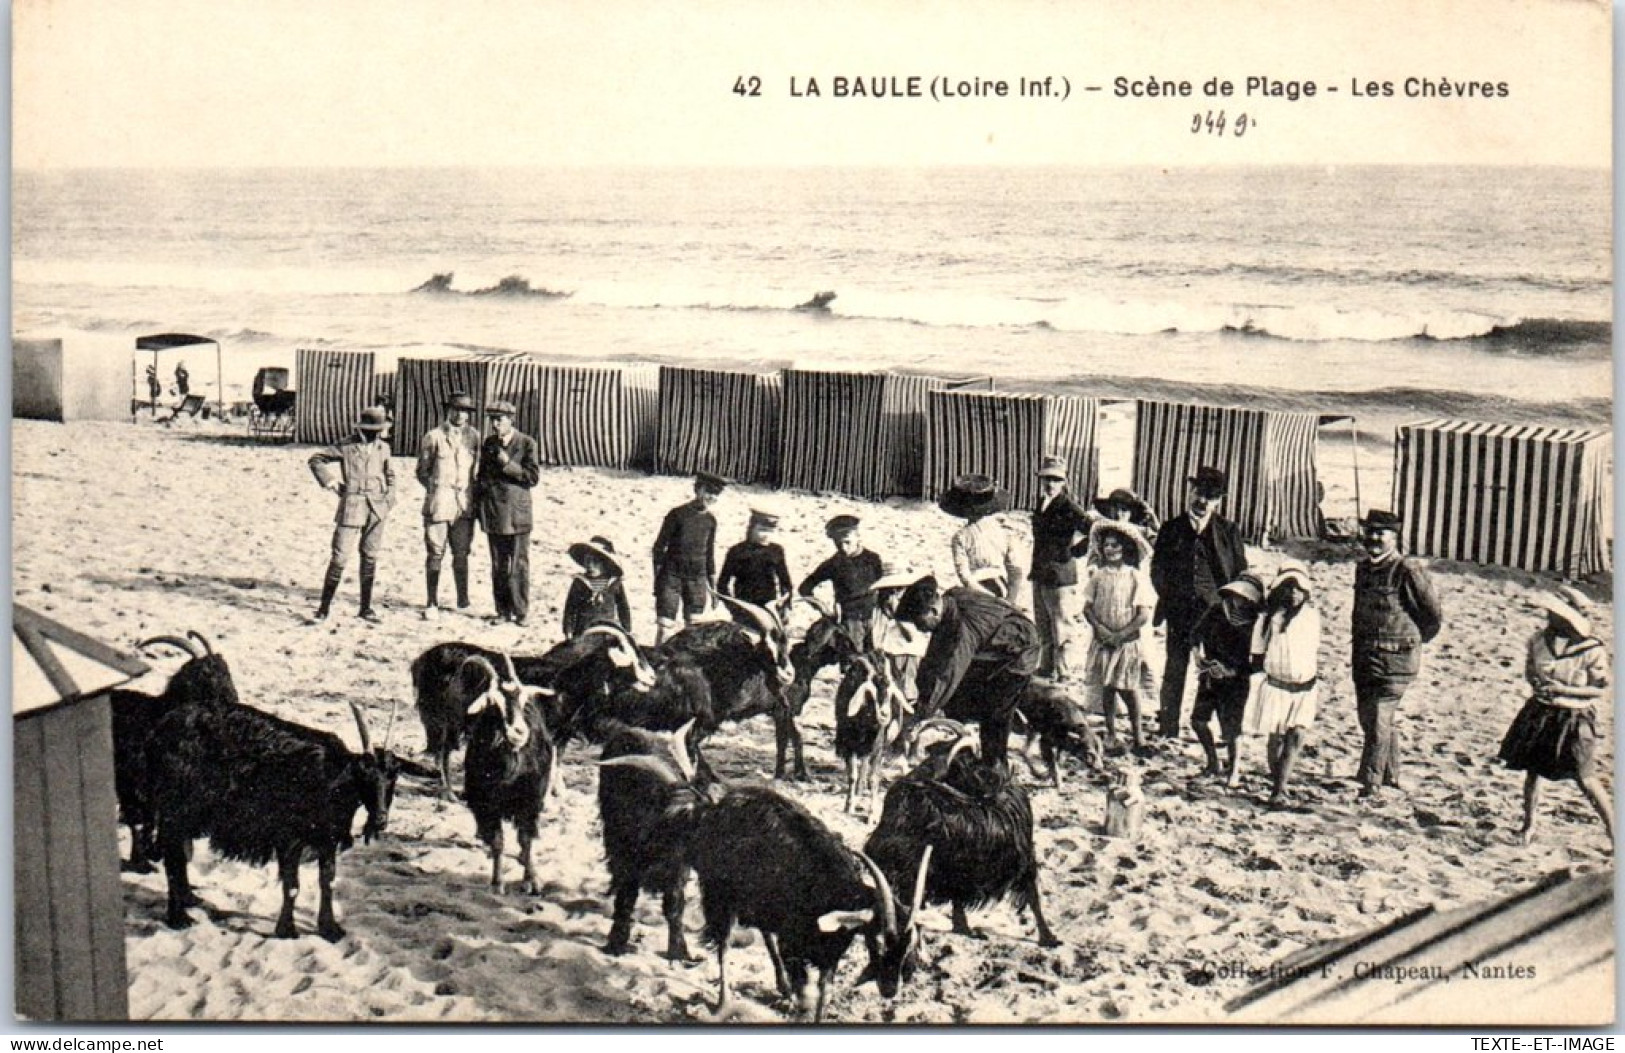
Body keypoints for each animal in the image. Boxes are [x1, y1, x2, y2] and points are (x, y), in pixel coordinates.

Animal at [110, 633, 237, 871]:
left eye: (226, 670)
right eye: (206, 673)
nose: (231, 698)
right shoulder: (138, 784)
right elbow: (142, 819)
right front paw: (145, 859)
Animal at [147, 698, 429, 936]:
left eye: (393, 776)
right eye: (365, 776)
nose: (381, 818)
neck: (331, 777)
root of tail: (164, 727)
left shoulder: (327, 838)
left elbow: (327, 881)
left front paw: (329, 928)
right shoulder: (289, 837)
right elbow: (292, 885)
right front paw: (287, 929)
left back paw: (189, 900)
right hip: (176, 810)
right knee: (172, 857)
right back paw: (178, 918)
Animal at [458, 653, 559, 890]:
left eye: (523, 701)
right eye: (493, 703)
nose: (519, 732)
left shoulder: (530, 800)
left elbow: (526, 839)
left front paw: (532, 880)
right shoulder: (485, 803)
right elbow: (497, 841)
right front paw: (497, 882)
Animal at [598, 724, 929, 1020]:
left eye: (909, 945)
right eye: (880, 939)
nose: (890, 988)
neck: (831, 892)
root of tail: (707, 811)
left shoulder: (827, 956)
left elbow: (822, 997)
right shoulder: (793, 946)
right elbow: (804, 997)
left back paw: (777, 987)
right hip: (721, 895)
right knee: (724, 943)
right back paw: (723, 1003)